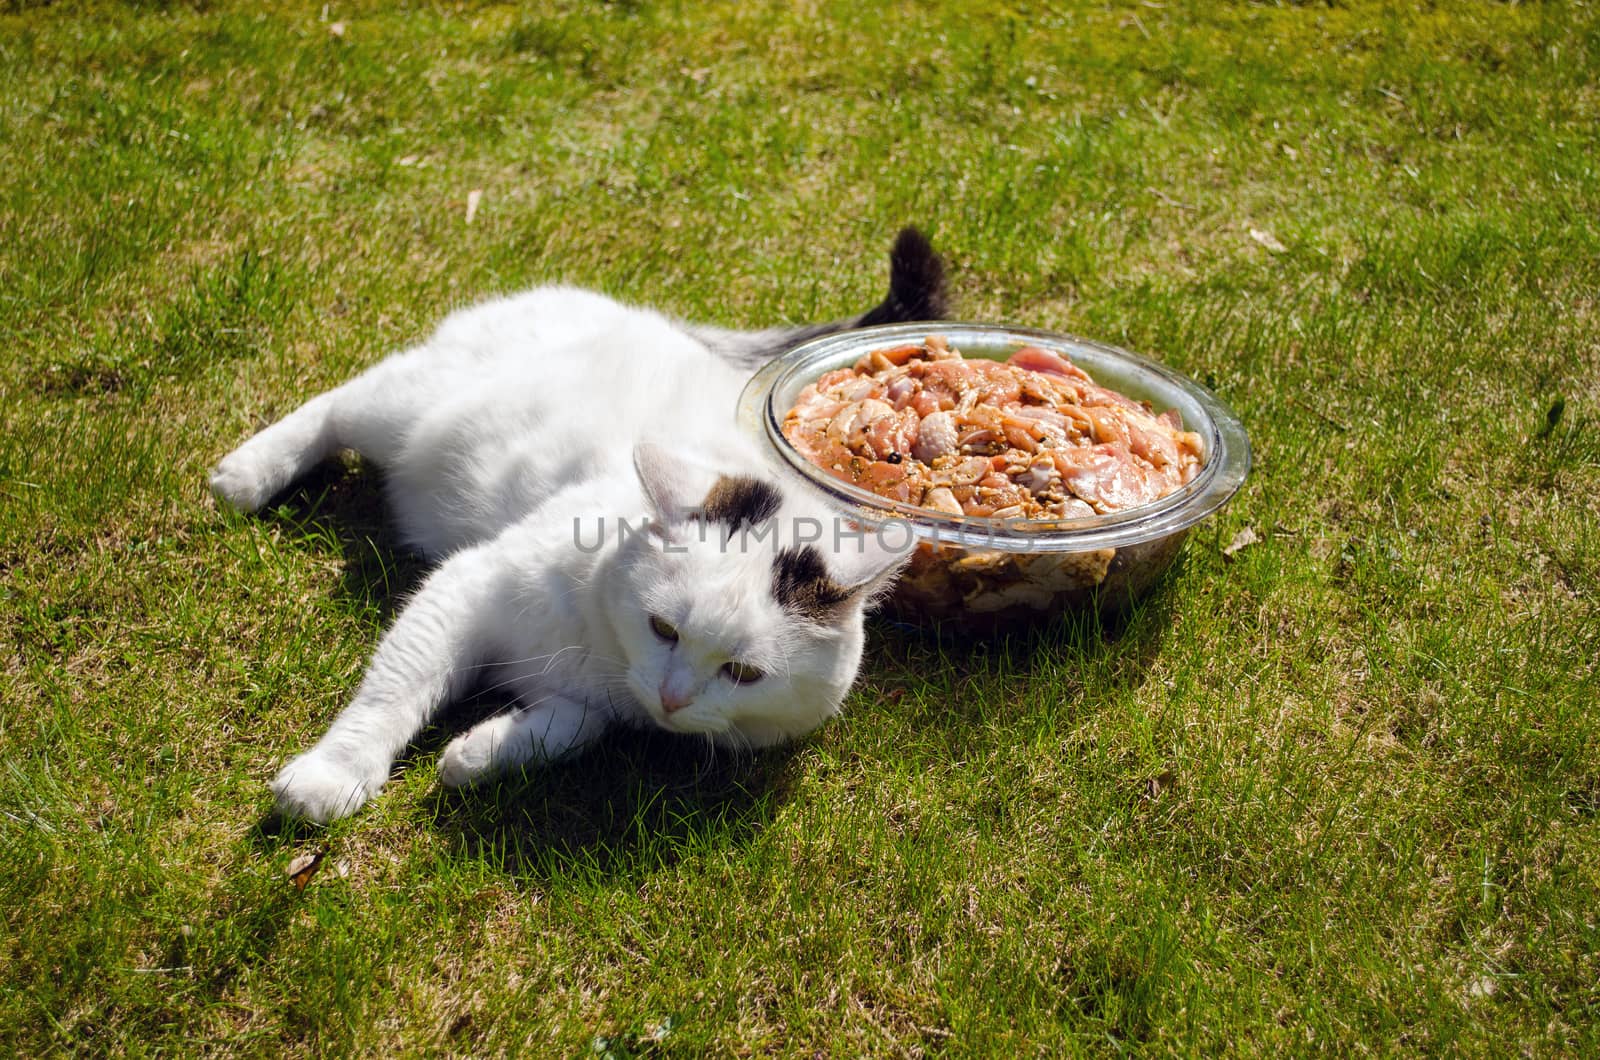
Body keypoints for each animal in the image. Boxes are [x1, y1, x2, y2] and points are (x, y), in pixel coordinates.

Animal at [206, 230, 940, 819]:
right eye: (663, 629)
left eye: (743, 674)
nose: (674, 699)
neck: (600, 651)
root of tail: (647, 315)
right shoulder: (466, 584)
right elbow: (395, 688)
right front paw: (333, 776)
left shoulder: (607, 707)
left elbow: (579, 726)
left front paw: (479, 752)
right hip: (402, 411)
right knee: (335, 405)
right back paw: (244, 475)